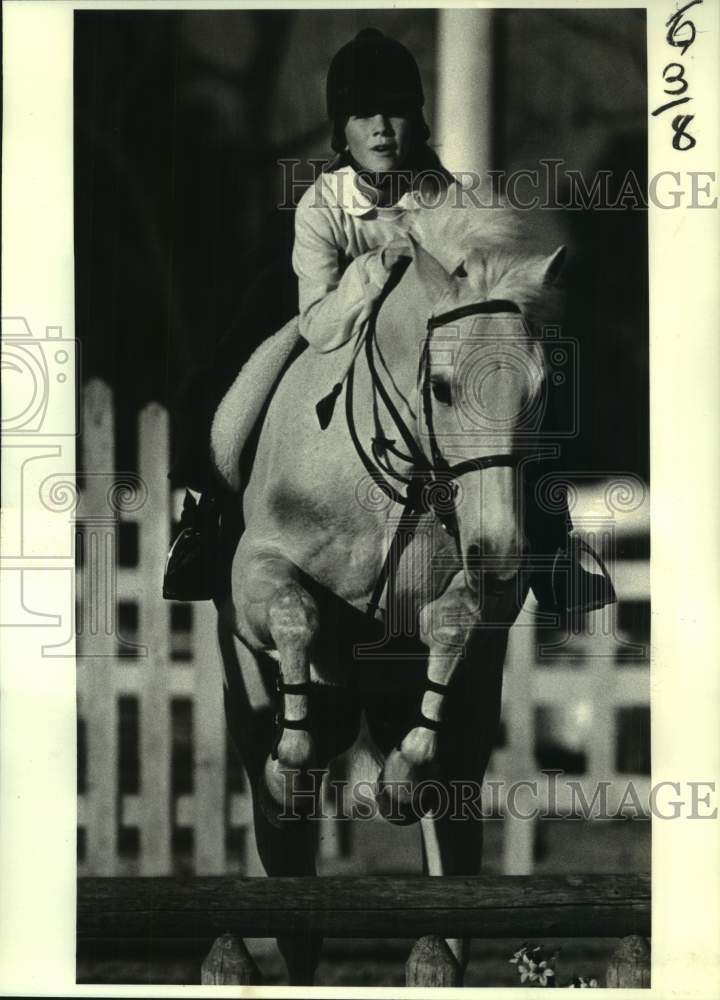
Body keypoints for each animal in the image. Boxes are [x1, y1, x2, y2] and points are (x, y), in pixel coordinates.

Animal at [217, 203, 564, 984]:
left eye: (537, 391)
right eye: (442, 387)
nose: (501, 553)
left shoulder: (482, 593)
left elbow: (455, 621)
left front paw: (402, 774)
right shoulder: (257, 574)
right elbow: (295, 611)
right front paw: (292, 748)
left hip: (465, 761)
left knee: (450, 882)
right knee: (293, 891)